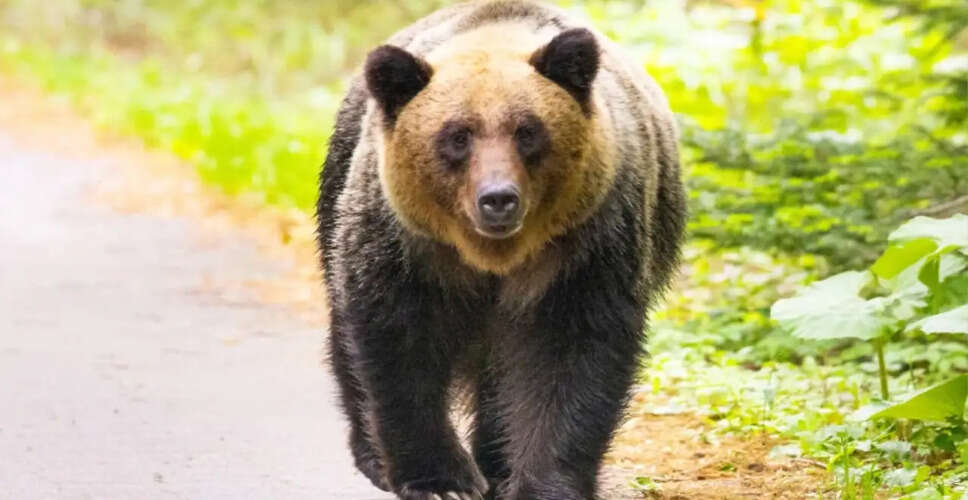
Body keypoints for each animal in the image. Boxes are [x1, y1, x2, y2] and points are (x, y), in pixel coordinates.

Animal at [316, 2, 686, 499]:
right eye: (457, 135)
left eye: (527, 131)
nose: (498, 198)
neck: (493, 256)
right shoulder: (405, 244)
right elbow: (399, 341)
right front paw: (440, 480)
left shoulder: (586, 247)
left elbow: (570, 356)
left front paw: (545, 483)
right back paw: (374, 454)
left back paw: (495, 460)